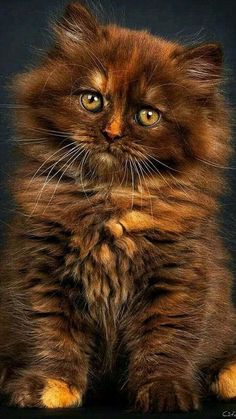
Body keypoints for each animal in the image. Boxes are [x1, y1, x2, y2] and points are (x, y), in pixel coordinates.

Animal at [0, 0, 236, 414]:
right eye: (92, 99)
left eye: (148, 115)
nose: (111, 134)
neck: (110, 201)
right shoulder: (41, 272)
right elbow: (51, 334)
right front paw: (51, 386)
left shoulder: (178, 279)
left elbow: (166, 340)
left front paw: (163, 390)